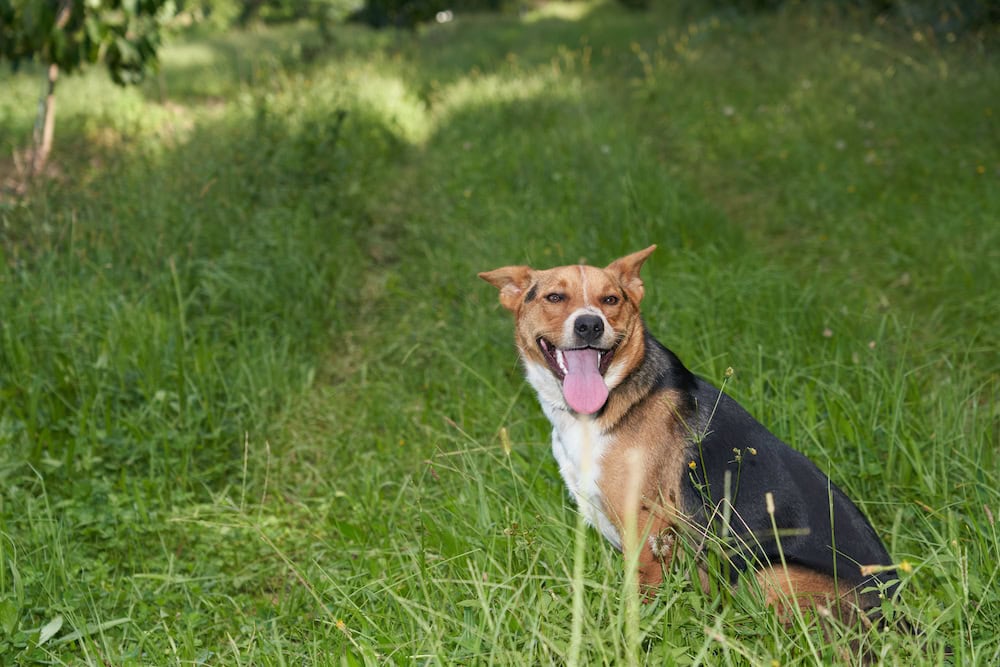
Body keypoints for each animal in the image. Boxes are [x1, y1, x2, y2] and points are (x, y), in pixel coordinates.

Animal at [478, 247, 900, 628]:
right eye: (554, 297)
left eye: (611, 300)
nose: (589, 325)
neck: (610, 400)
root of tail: (897, 614)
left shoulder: (646, 530)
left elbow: (642, 599)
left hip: (769, 571)